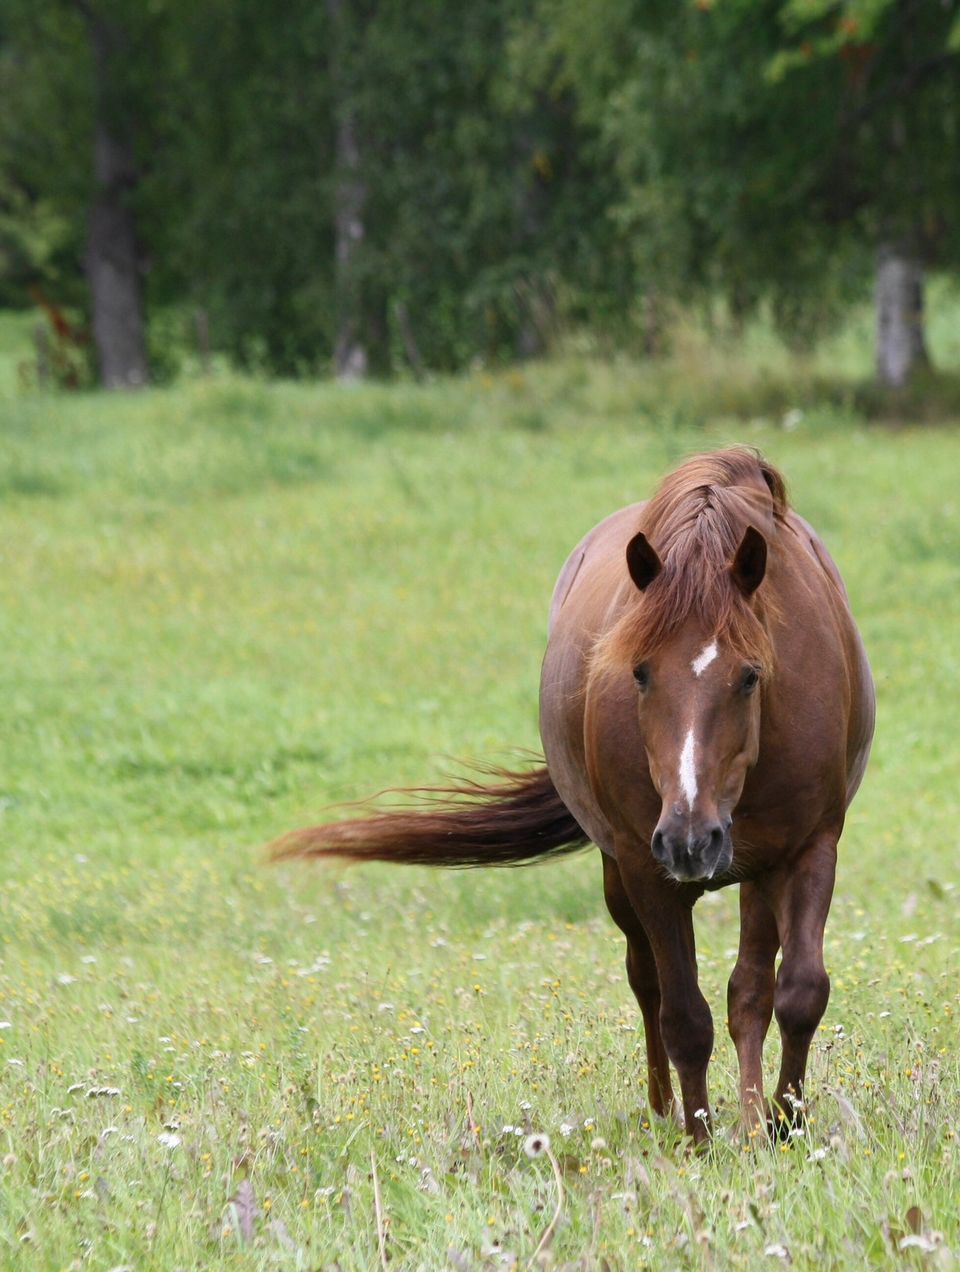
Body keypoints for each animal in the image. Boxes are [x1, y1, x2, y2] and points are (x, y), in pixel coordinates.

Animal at [274, 450, 874, 1144]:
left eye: (751, 675)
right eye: (639, 672)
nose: (690, 840)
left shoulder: (810, 848)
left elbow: (799, 992)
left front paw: (784, 1127)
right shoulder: (646, 867)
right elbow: (683, 1018)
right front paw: (699, 1144)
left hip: (753, 865)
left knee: (748, 987)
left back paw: (751, 1119)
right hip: (626, 870)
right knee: (649, 983)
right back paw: (667, 1113)